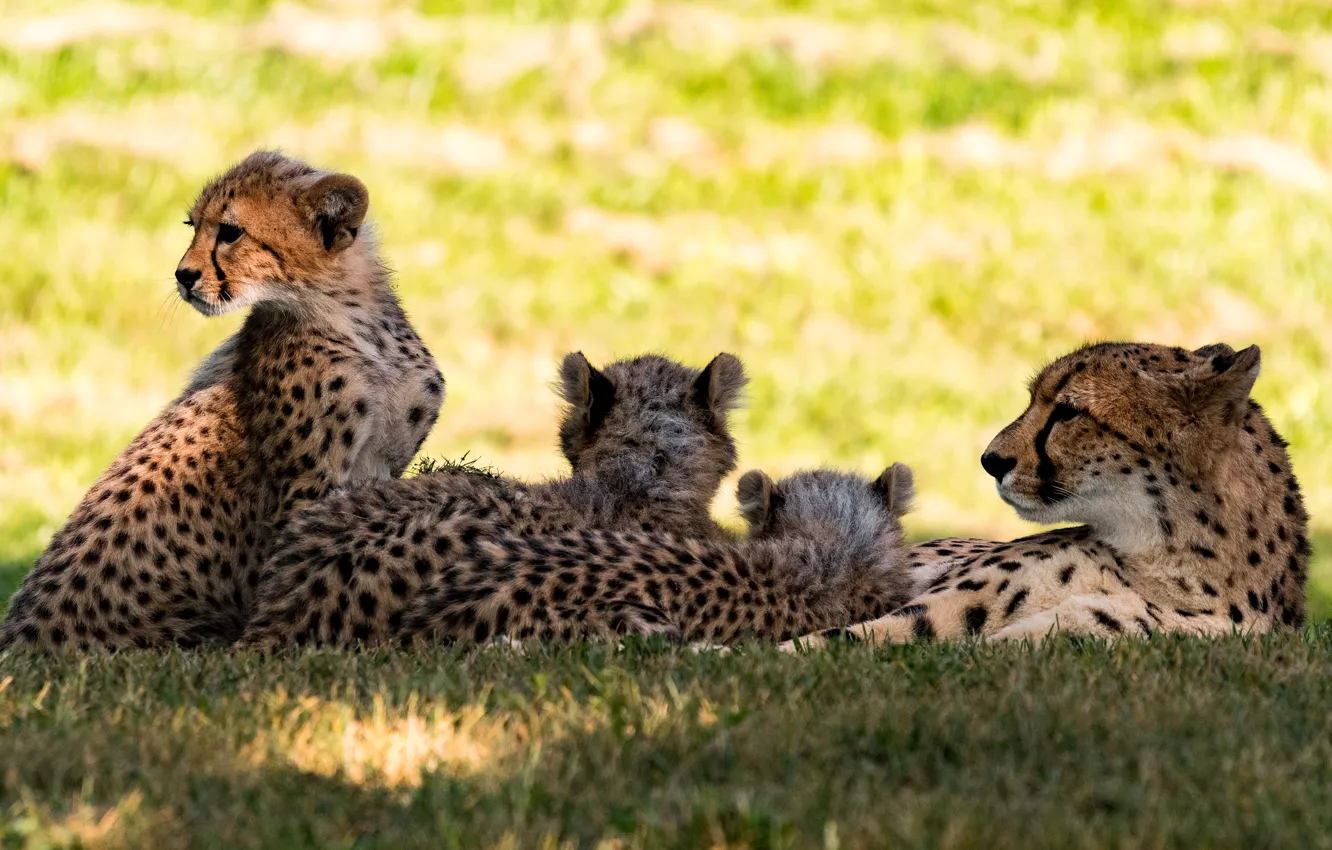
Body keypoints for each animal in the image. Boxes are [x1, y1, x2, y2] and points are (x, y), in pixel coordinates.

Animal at [0, 150, 442, 652]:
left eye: (230, 231)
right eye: (192, 225)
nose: (183, 275)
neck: (352, 318)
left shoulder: (381, 469)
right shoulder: (308, 486)